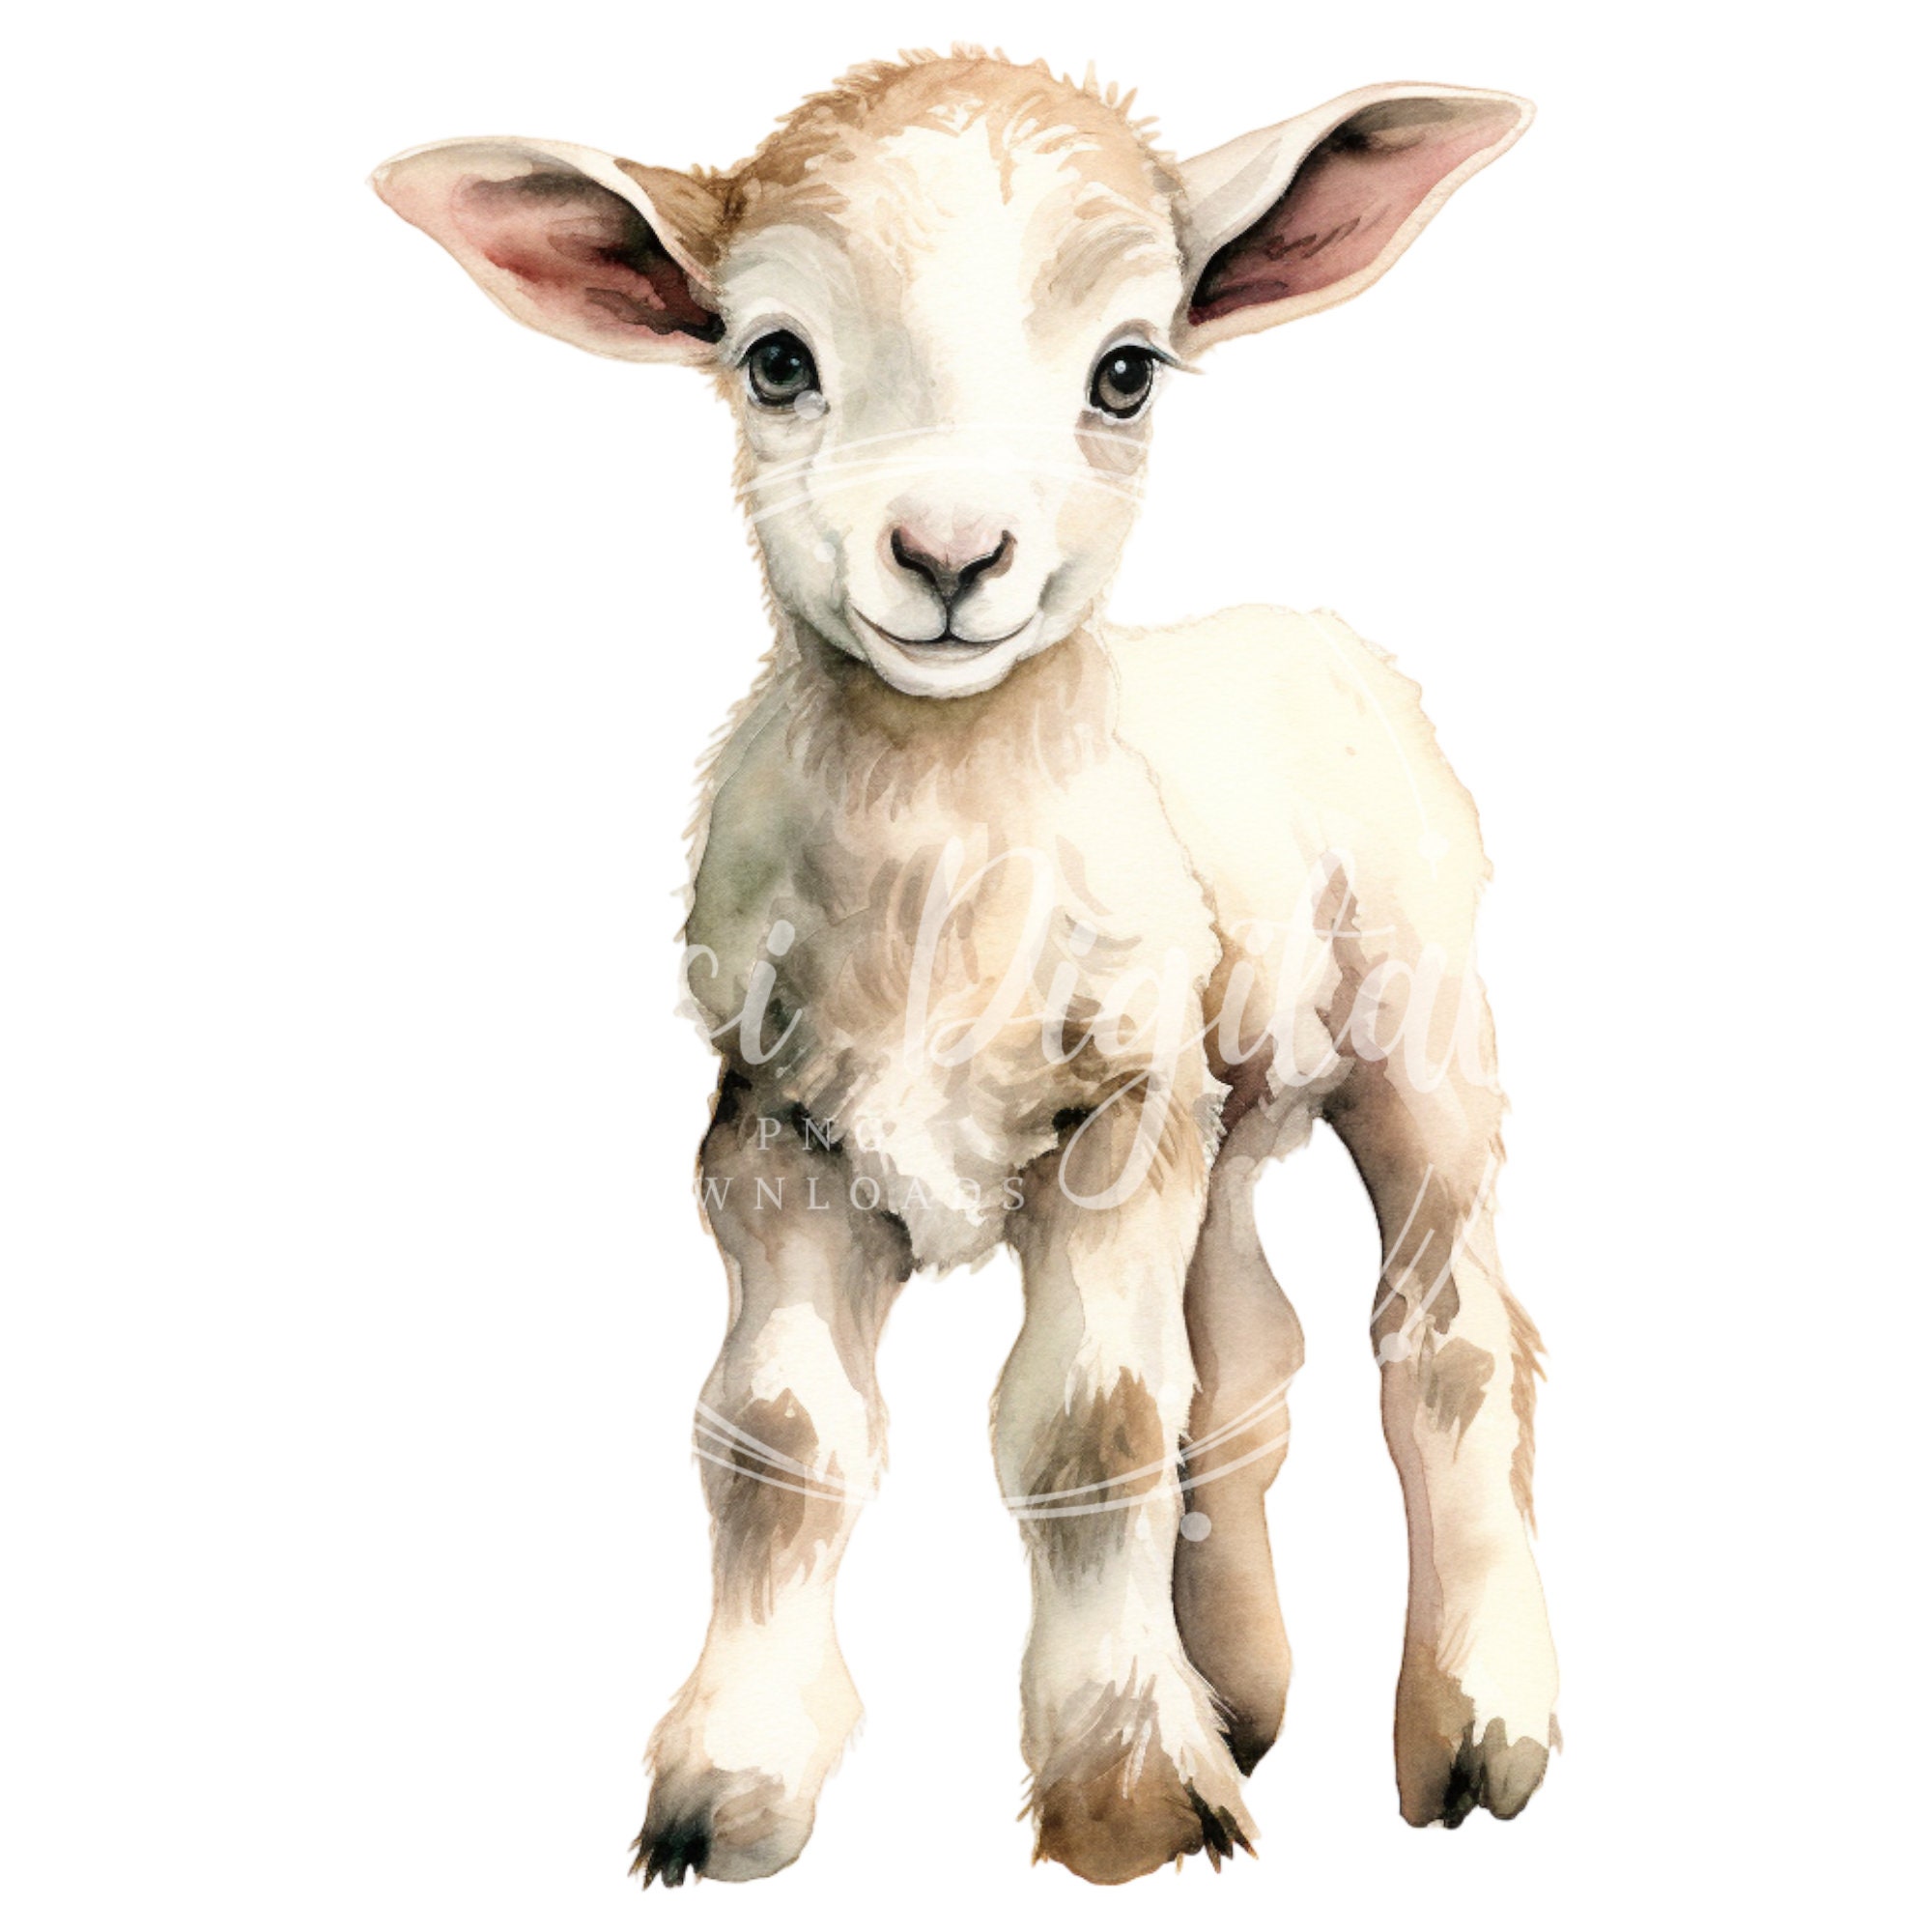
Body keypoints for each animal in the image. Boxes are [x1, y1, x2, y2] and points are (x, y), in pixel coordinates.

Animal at [372, 48, 1556, 1888]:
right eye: (775, 359)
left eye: (1127, 371)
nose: (946, 557)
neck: (939, 882)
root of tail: (1298, 627)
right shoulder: (773, 1134)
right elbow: (779, 1440)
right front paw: (733, 1780)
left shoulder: (1114, 1117)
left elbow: (1095, 1423)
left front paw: (1127, 1790)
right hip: (1217, 1103)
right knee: (1249, 1361)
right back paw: (1242, 1692)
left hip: (1417, 1033)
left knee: (1449, 1338)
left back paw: (1479, 1726)